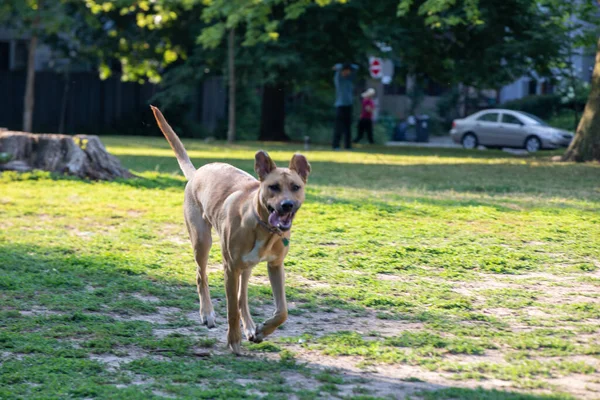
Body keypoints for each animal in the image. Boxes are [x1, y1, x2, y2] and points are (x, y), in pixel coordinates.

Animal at [150, 105, 312, 354]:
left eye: (296, 187)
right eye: (273, 187)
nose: (287, 205)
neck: (264, 228)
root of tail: (197, 173)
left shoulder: (275, 266)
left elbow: (282, 311)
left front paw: (262, 330)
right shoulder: (229, 267)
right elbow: (231, 309)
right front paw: (233, 340)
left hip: (245, 266)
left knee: (242, 296)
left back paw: (251, 327)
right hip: (202, 241)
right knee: (202, 276)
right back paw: (207, 313)